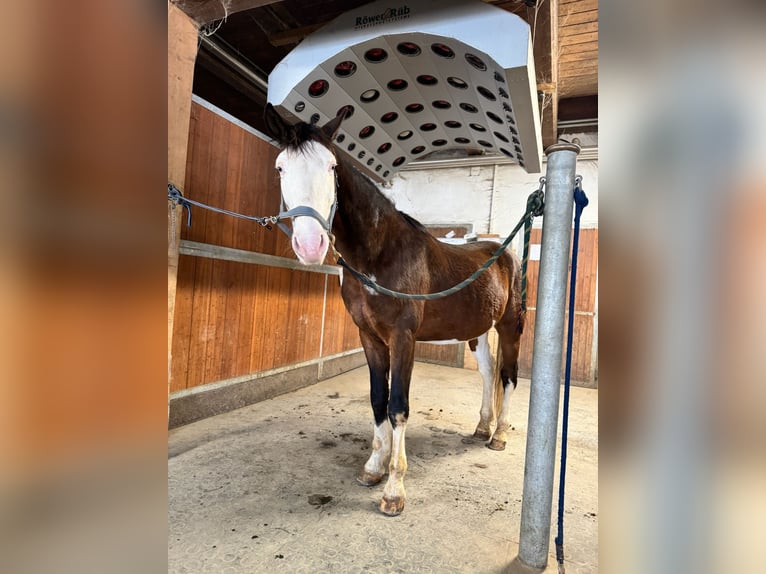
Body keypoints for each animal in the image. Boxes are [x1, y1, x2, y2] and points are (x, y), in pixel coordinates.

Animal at [264, 104, 524, 516]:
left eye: (331, 166)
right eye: (280, 168)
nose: (310, 244)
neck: (380, 255)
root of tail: (503, 251)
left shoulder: (403, 339)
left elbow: (398, 405)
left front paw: (394, 490)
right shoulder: (369, 337)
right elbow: (377, 400)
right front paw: (373, 468)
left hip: (510, 325)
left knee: (509, 376)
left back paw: (498, 435)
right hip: (479, 331)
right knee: (486, 374)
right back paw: (482, 427)